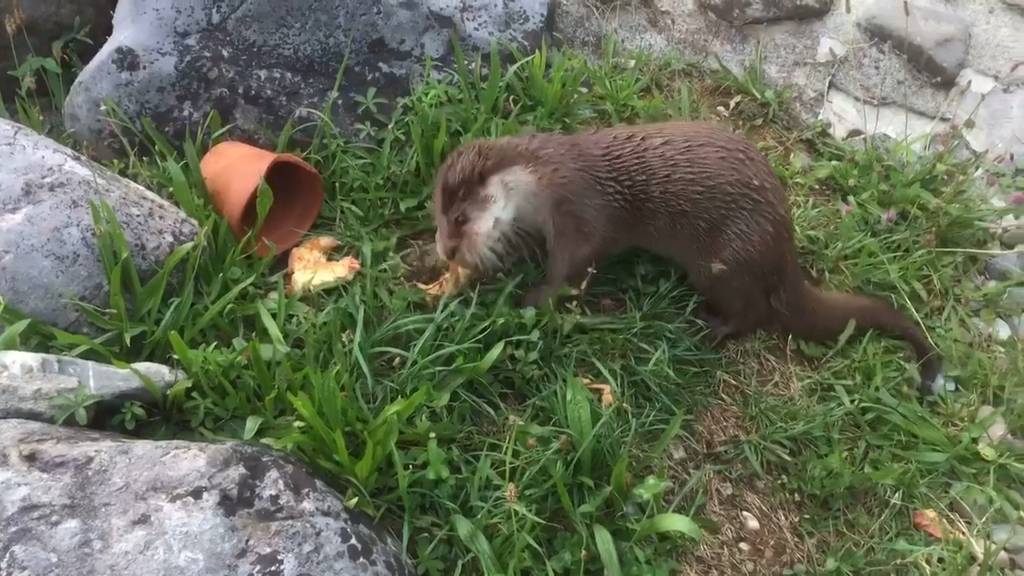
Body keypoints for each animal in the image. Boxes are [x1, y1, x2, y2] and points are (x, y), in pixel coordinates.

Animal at [430, 119, 942, 391]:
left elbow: (574, 269)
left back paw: (710, 327)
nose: (445, 248)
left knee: (755, 312)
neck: (543, 181)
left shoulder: (581, 213)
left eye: (460, 217)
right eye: (437, 214)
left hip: (721, 261)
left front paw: (531, 299)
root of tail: (783, 245)